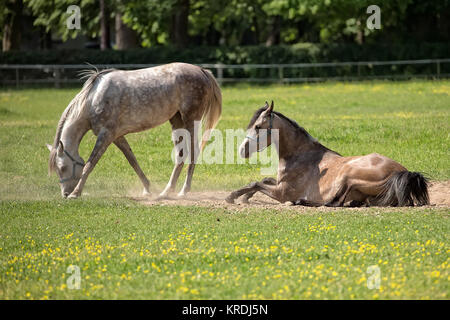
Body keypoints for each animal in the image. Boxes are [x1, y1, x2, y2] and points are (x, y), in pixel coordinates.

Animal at [46, 62, 221, 198]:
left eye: (62, 168)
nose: (65, 194)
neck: (93, 99)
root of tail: (201, 70)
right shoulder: (117, 136)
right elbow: (132, 160)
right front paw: (147, 189)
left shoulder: (105, 135)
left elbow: (90, 164)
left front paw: (76, 193)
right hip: (177, 121)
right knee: (181, 154)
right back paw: (166, 191)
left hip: (190, 120)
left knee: (193, 151)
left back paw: (184, 191)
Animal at [225, 102, 428, 208]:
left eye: (258, 126)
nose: (242, 150)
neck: (300, 155)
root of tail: (403, 172)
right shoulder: (278, 183)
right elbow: (264, 180)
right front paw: (244, 197)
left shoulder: (281, 192)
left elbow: (256, 182)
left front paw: (233, 196)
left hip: (348, 174)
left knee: (335, 202)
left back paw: (301, 201)